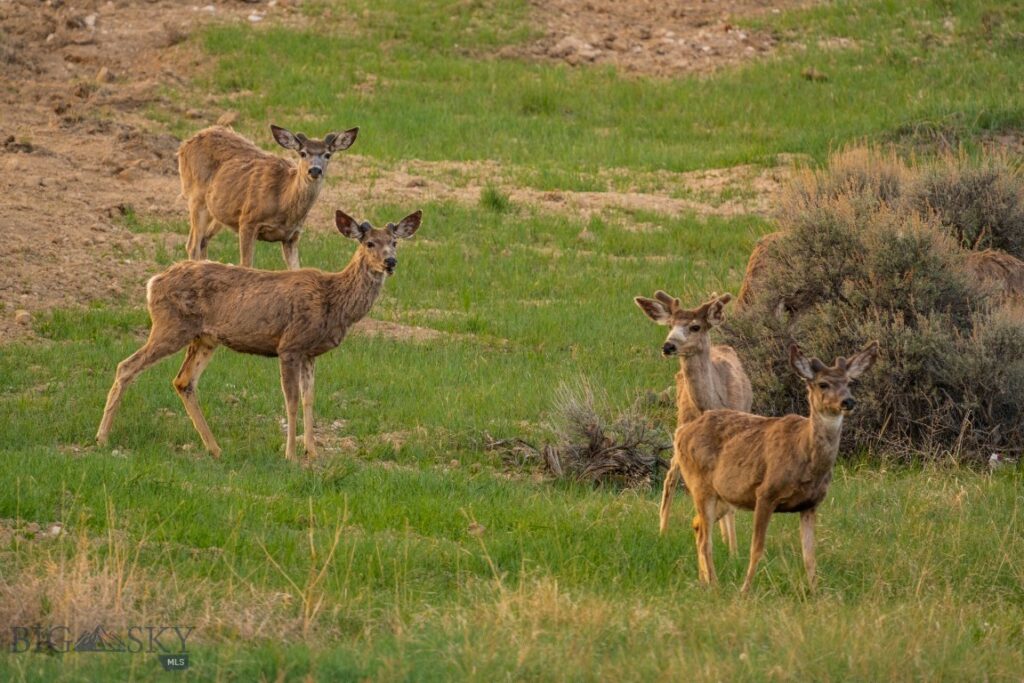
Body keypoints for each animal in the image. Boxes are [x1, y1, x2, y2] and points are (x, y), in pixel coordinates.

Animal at [93, 209, 419, 458]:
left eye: (394, 242)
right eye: (369, 243)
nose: (390, 262)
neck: (333, 298)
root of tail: (153, 282)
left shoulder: (310, 353)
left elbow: (310, 399)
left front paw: (313, 453)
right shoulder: (289, 345)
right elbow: (291, 400)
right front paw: (290, 455)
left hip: (204, 338)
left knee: (183, 381)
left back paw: (215, 449)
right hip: (170, 326)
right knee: (127, 366)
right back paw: (102, 438)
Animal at [179, 124, 360, 268]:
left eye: (328, 154)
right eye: (302, 153)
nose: (315, 170)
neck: (283, 201)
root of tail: (184, 145)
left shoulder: (292, 236)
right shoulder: (247, 221)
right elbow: (246, 265)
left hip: (220, 211)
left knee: (203, 241)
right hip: (196, 197)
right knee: (192, 245)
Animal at [630, 290, 753, 557]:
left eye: (695, 326)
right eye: (670, 325)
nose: (668, 346)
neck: (712, 404)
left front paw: (733, 549)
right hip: (681, 427)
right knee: (671, 478)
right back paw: (663, 533)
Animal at [671, 342, 880, 593]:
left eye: (850, 382)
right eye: (823, 384)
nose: (848, 401)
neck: (805, 454)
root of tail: (681, 433)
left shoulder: (810, 504)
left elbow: (809, 555)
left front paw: (815, 592)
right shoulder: (765, 493)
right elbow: (757, 548)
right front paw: (745, 590)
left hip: (723, 497)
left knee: (697, 525)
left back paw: (704, 581)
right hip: (700, 485)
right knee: (705, 539)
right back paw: (715, 584)